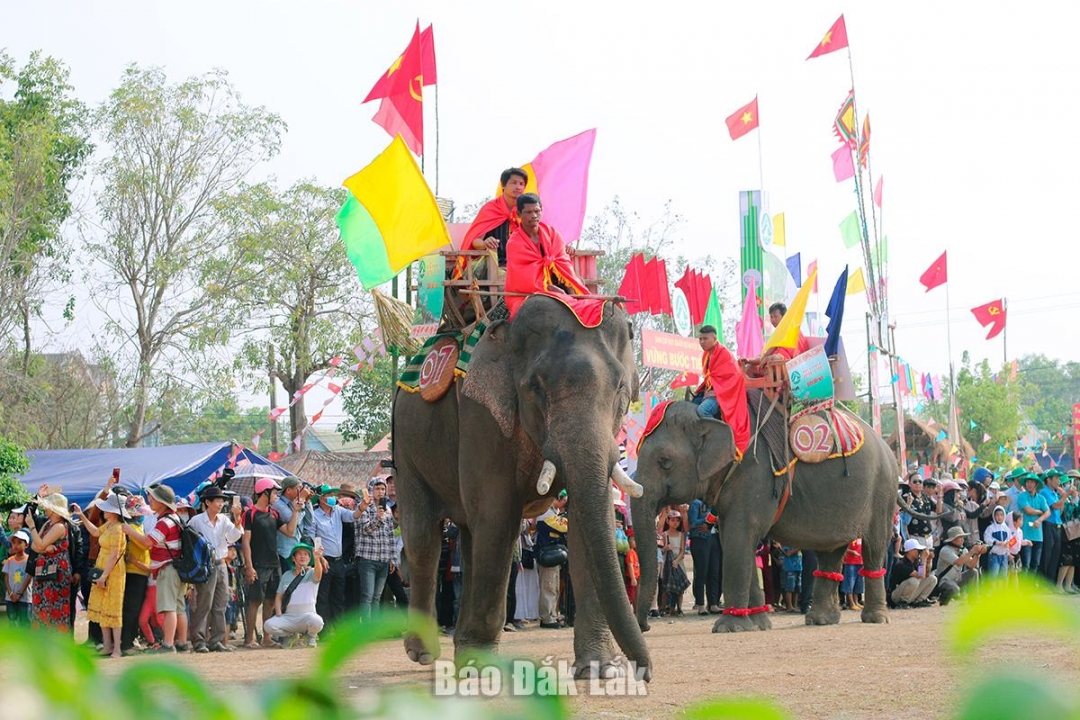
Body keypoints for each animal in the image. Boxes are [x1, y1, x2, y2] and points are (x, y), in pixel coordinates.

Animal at [393, 297, 652, 682]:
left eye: (621, 389)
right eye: (536, 388)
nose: (644, 673)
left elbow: (588, 520)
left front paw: (600, 669)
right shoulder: (481, 416)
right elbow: (498, 514)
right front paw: (479, 668)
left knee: (469, 537)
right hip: (406, 447)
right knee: (425, 539)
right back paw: (424, 653)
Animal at [630, 403, 898, 634]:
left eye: (665, 462)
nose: (645, 626)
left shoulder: (755, 473)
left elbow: (739, 537)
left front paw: (729, 628)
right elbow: (736, 541)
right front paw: (757, 624)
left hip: (883, 491)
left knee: (873, 548)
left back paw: (875, 618)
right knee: (830, 553)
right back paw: (821, 620)